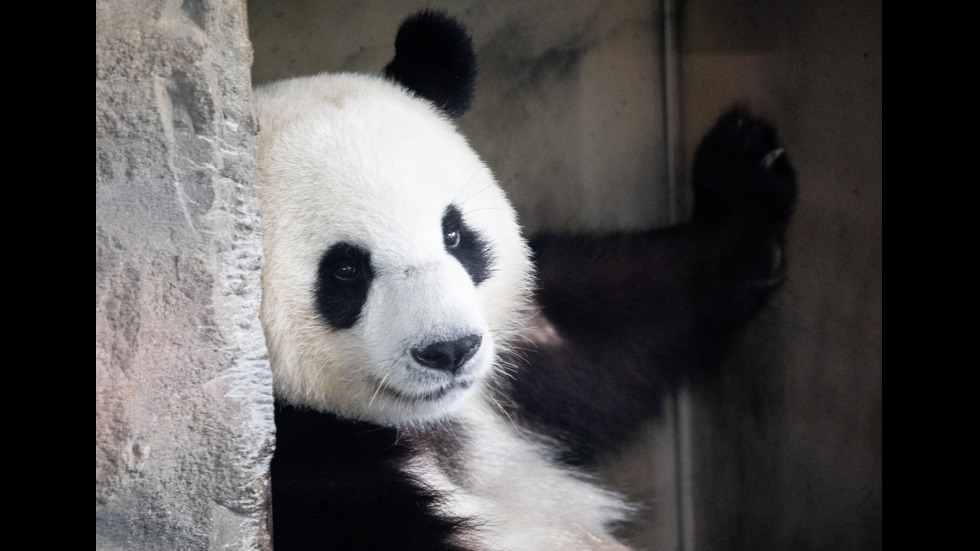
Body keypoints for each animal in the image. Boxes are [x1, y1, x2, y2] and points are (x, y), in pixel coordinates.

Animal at [255, 9, 796, 551]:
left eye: (454, 234)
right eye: (346, 269)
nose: (451, 350)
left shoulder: (513, 373)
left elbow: (617, 328)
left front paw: (744, 177)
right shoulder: (304, 471)